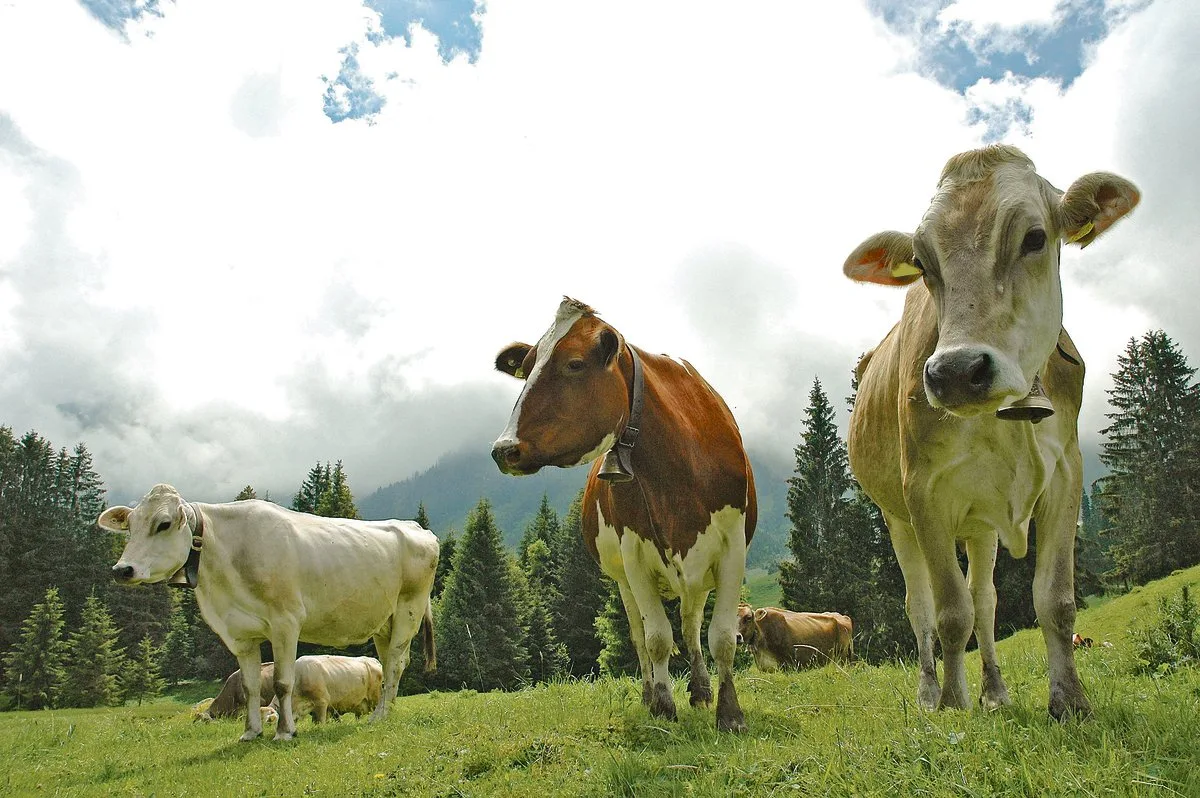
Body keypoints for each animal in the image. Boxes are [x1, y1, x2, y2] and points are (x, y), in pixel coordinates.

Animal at [100, 484, 439, 741]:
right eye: (130, 526)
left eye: (164, 524)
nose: (122, 569)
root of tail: (416, 527)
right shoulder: (238, 634)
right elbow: (251, 686)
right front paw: (251, 732)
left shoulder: (285, 623)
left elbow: (282, 682)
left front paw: (285, 732)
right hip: (383, 621)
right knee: (391, 663)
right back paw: (387, 710)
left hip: (408, 609)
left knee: (394, 663)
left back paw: (380, 715)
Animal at [491, 298, 756, 732]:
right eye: (526, 368)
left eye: (575, 364)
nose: (503, 449)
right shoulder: (635, 556)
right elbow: (657, 639)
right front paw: (663, 706)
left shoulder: (732, 547)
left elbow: (717, 636)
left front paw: (729, 713)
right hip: (622, 580)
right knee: (640, 635)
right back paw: (651, 694)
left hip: (696, 576)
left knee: (691, 626)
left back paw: (700, 691)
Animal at [842, 144, 1138, 719]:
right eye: (923, 264)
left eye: (1035, 238)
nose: (957, 372)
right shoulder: (923, 492)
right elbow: (949, 611)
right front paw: (953, 704)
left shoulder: (1066, 473)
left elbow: (1053, 599)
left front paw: (1069, 701)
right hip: (894, 517)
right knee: (921, 606)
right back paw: (929, 693)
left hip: (980, 527)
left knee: (986, 600)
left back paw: (995, 692)